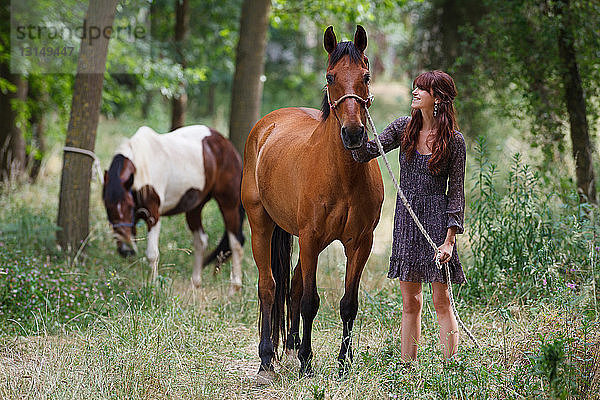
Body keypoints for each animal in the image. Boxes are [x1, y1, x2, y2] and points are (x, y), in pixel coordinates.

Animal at [102, 123, 244, 292]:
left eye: (128, 205)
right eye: (107, 206)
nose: (126, 251)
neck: (142, 165)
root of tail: (228, 146)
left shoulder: (153, 216)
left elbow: (152, 254)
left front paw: (153, 287)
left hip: (229, 204)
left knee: (235, 243)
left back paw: (234, 289)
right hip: (195, 208)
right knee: (201, 241)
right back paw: (195, 284)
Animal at [241, 25, 382, 382]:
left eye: (366, 76)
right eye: (330, 77)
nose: (354, 134)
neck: (342, 176)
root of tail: (266, 125)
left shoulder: (360, 243)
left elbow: (348, 304)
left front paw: (343, 363)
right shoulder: (311, 239)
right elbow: (309, 302)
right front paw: (307, 360)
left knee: (290, 286)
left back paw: (289, 347)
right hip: (262, 225)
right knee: (269, 286)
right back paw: (267, 358)